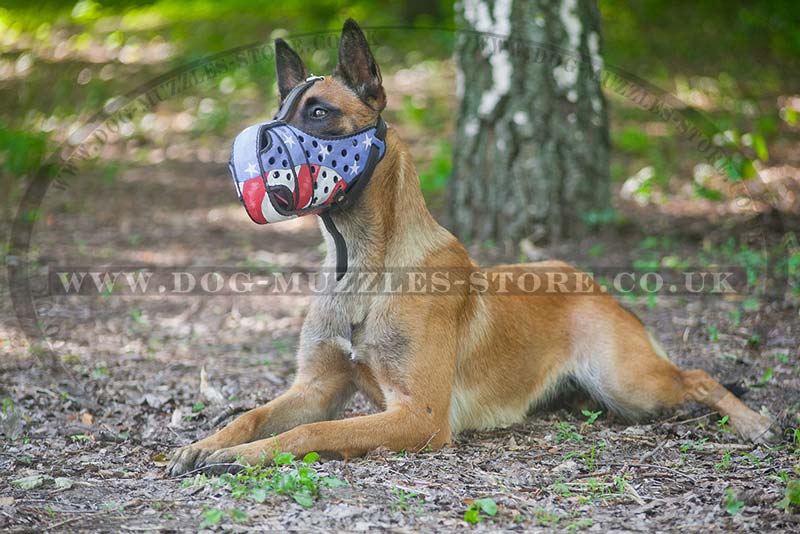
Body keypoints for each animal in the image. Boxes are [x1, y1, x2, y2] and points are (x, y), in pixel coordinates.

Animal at [169, 19, 776, 478]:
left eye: (318, 112)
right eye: (281, 110)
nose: (252, 150)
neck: (361, 263)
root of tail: (589, 281)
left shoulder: (420, 415)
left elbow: (314, 431)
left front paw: (244, 456)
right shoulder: (318, 386)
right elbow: (251, 415)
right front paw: (209, 443)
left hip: (629, 384)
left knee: (697, 378)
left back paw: (754, 422)